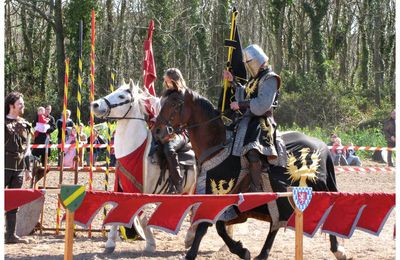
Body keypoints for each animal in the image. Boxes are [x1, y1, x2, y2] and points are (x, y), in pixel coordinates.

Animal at [90, 80, 197, 252]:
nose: (95, 105)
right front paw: (110, 243)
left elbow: (142, 217)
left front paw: (151, 244)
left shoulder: (140, 190)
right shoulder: (123, 187)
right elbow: (116, 210)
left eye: (122, 96)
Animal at [155, 89, 348, 260]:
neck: (217, 144)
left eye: (174, 104)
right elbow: (219, 226)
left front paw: (191, 254)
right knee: (275, 224)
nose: (157, 130)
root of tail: (323, 147)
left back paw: (338, 250)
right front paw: (240, 250)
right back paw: (263, 253)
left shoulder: (219, 192)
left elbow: (206, 225)